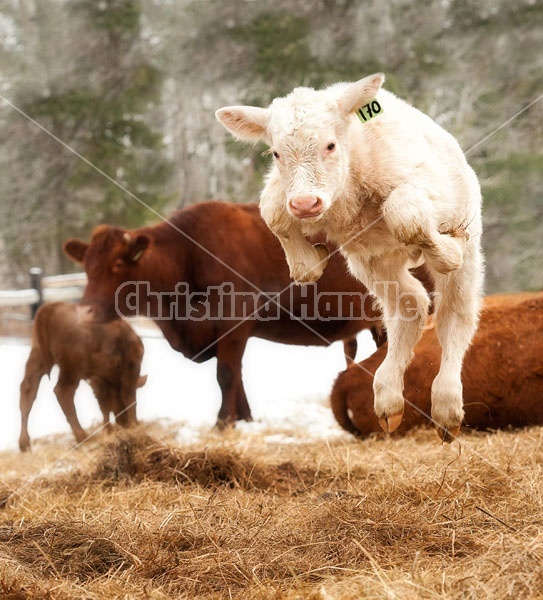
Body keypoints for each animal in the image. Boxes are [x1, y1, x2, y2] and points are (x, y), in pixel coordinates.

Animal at [19, 300, 147, 450]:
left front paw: (109, 429)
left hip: (37, 357)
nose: (123, 423)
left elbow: (104, 405)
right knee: (63, 392)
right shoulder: (131, 367)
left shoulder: (99, 379)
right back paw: (82, 436)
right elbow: (129, 396)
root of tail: (53, 306)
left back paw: (24, 443)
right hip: (72, 368)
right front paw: (134, 424)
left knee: (28, 391)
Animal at [62, 202, 434, 426]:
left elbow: (226, 375)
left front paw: (222, 422)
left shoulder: (233, 326)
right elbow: (236, 377)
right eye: (87, 266)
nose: (85, 311)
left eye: (117, 264)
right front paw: (245, 418)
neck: (187, 255)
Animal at [217, 74, 484, 440]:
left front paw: (447, 251)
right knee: (410, 307)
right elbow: (272, 210)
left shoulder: (428, 191)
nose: (305, 204)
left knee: (453, 316)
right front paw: (309, 262)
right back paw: (388, 399)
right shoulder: (287, 195)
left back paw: (446, 406)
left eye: (330, 146)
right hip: (373, 263)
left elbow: (404, 213)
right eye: (276, 153)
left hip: (464, 252)